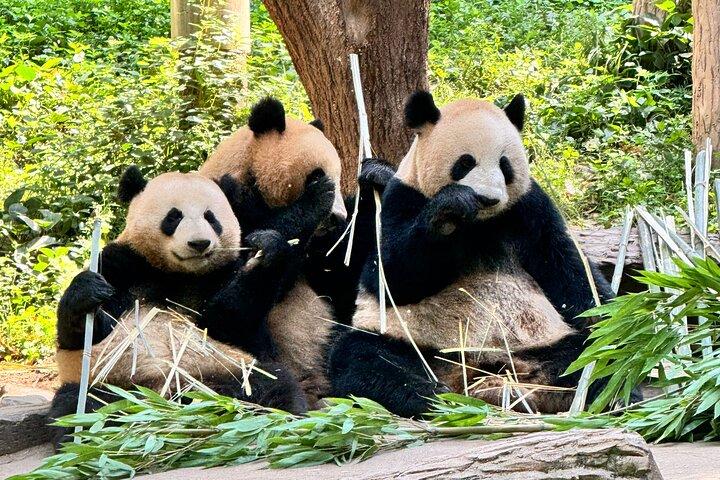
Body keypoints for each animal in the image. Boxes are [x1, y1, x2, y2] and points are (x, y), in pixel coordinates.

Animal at [49, 168, 307, 447]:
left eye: (211, 217)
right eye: (174, 217)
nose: (199, 243)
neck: (179, 274)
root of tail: (173, 399)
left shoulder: (222, 275)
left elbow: (228, 322)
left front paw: (266, 248)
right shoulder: (122, 264)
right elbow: (86, 334)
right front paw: (88, 291)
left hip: (230, 370)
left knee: (274, 388)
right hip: (112, 384)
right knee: (82, 407)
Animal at [199, 98, 378, 407]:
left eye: (341, 174)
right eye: (316, 175)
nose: (338, 218)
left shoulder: (323, 254)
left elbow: (349, 272)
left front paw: (376, 176)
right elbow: (216, 312)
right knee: (262, 382)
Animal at [327, 91, 615, 417]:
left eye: (505, 165)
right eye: (465, 163)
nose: (487, 199)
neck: (479, 223)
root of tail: (477, 372)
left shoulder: (530, 208)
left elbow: (567, 266)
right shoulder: (401, 197)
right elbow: (389, 276)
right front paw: (449, 209)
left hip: (540, 344)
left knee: (590, 358)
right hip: (417, 345)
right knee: (364, 358)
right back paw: (433, 397)